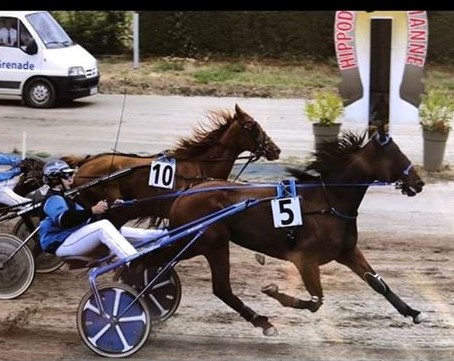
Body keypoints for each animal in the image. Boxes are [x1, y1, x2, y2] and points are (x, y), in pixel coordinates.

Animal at [120, 129, 426, 334]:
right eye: (397, 157)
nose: (419, 182)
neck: (328, 202)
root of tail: (188, 191)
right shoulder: (305, 260)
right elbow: (315, 301)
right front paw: (272, 290)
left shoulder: (347, 251)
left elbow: (378, 284)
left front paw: (412, 312)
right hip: (205, 243)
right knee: (198, 280)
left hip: (199, 243)